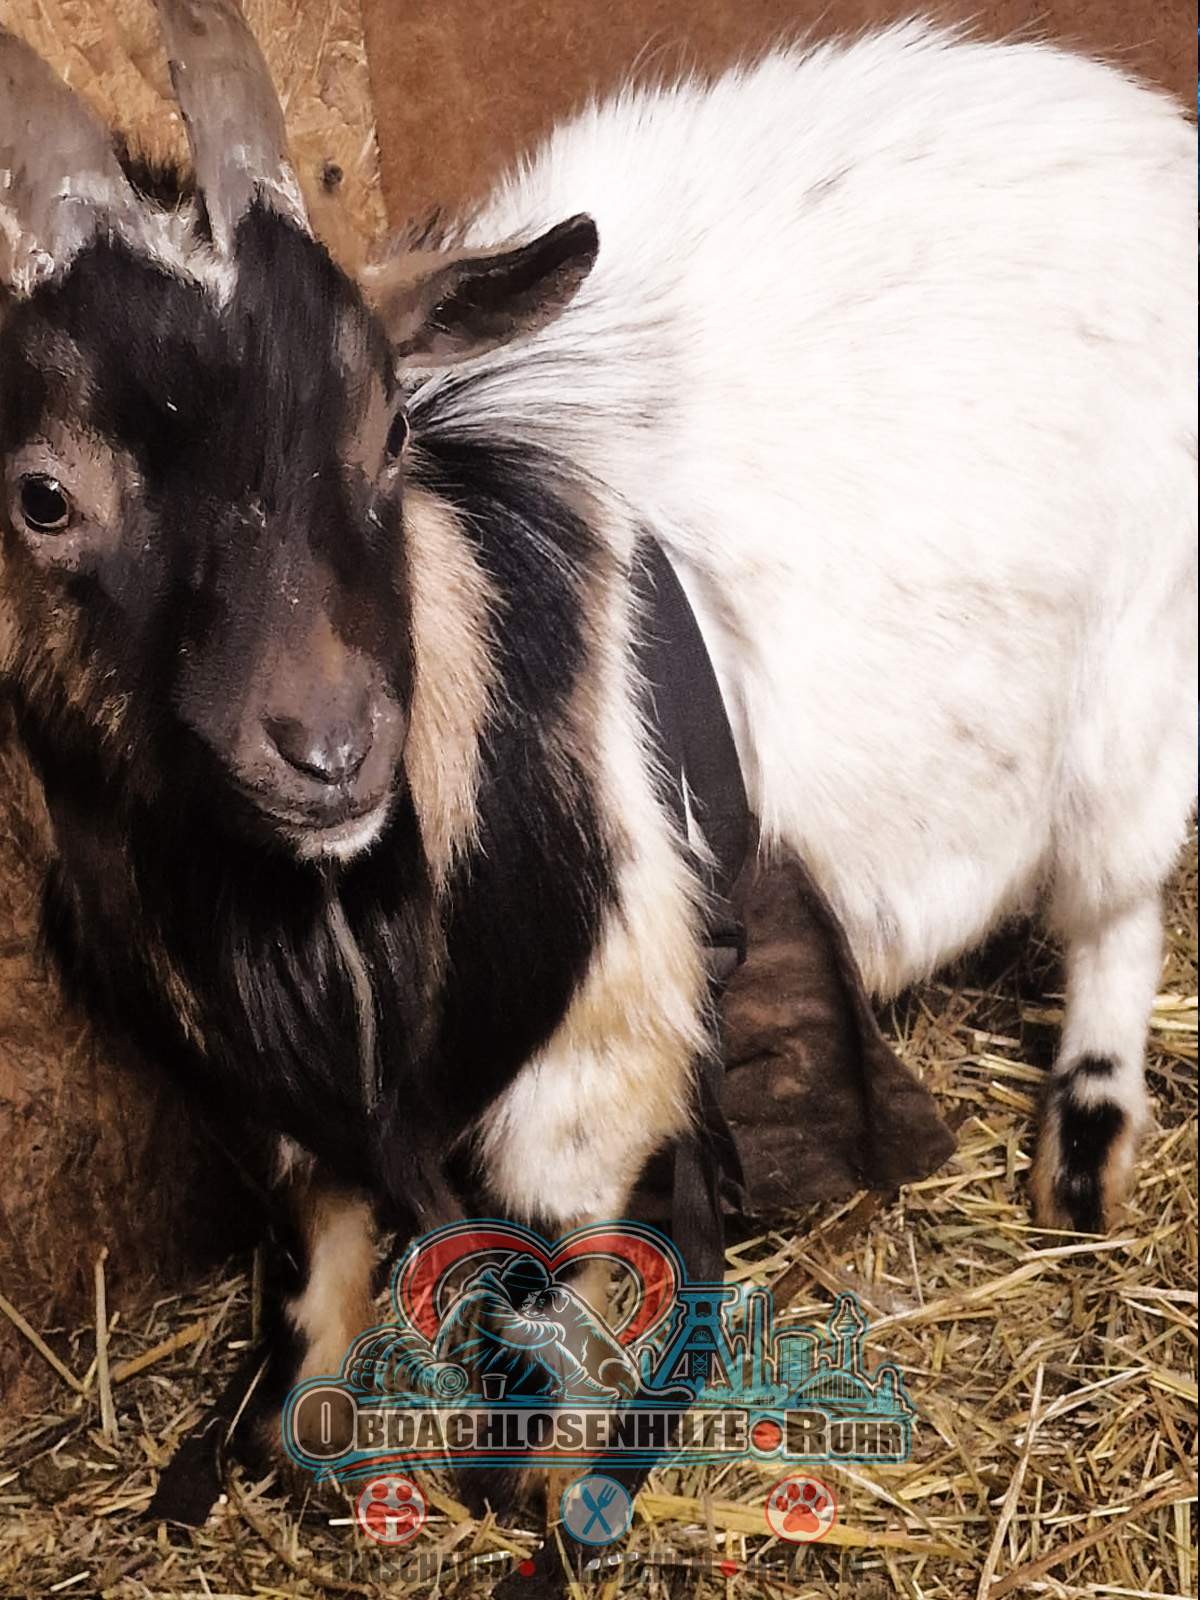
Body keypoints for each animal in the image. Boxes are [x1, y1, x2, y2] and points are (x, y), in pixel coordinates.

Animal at [1, 0, 1195, 1579]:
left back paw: (1088, 1145)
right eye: (41, 497)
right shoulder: (279, 1087)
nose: (331, 746)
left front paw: (542, 1485)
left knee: (1119, 906)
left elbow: (558, 1265)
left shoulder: (604, 1048)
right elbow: (320, 1233)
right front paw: (299, 1428)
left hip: (1138, 696)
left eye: (389, 430)